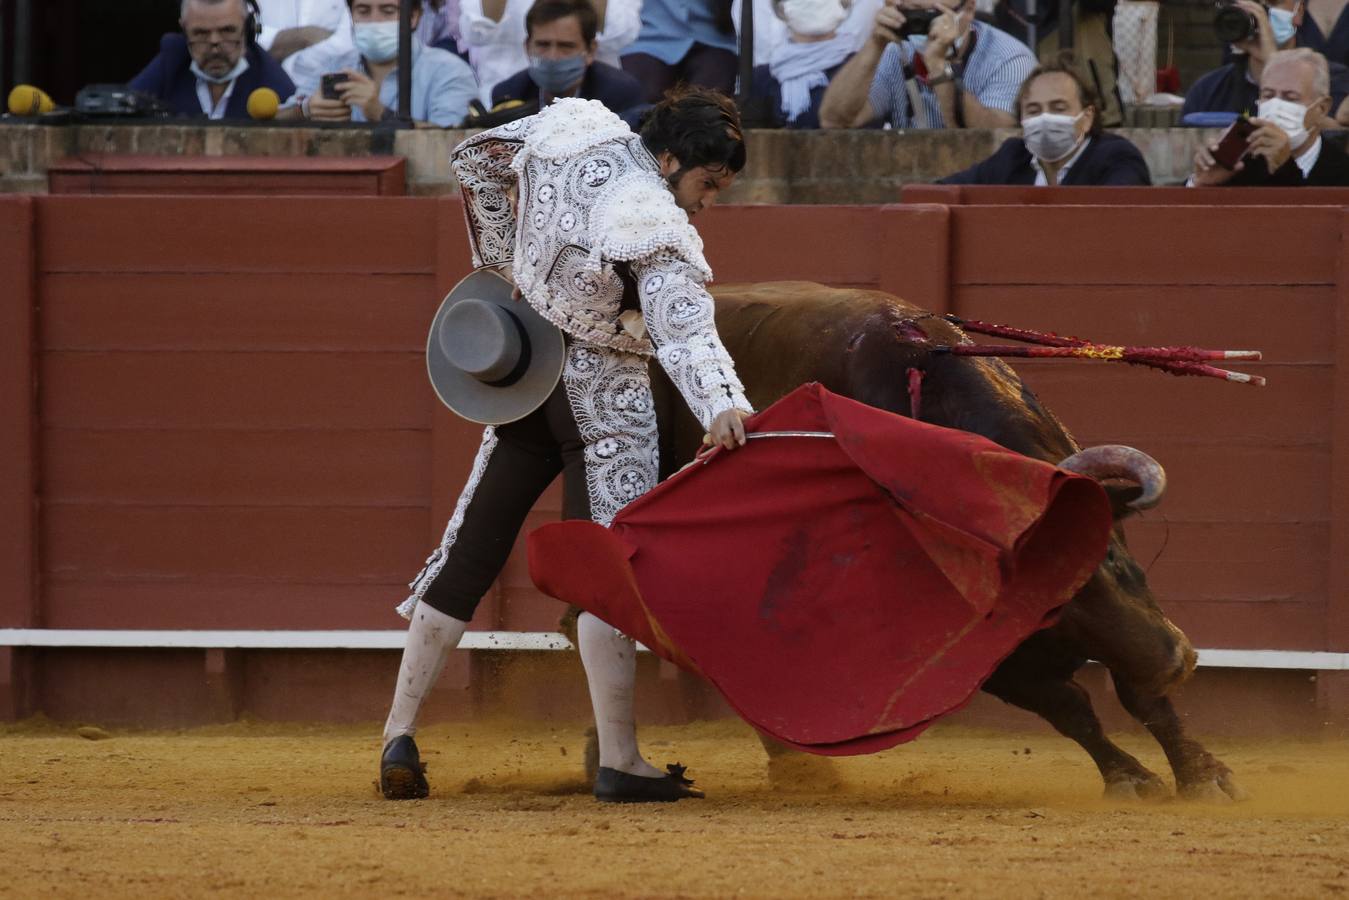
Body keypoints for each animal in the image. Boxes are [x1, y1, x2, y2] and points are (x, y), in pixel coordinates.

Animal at [631, 282, 1241, 804]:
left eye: (1110, 550)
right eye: (1051, 606)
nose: (1177, 662)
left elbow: (1141, 697)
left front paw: (1204, 776)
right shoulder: (985, 654)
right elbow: (1072, 706)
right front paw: (1132, 778)